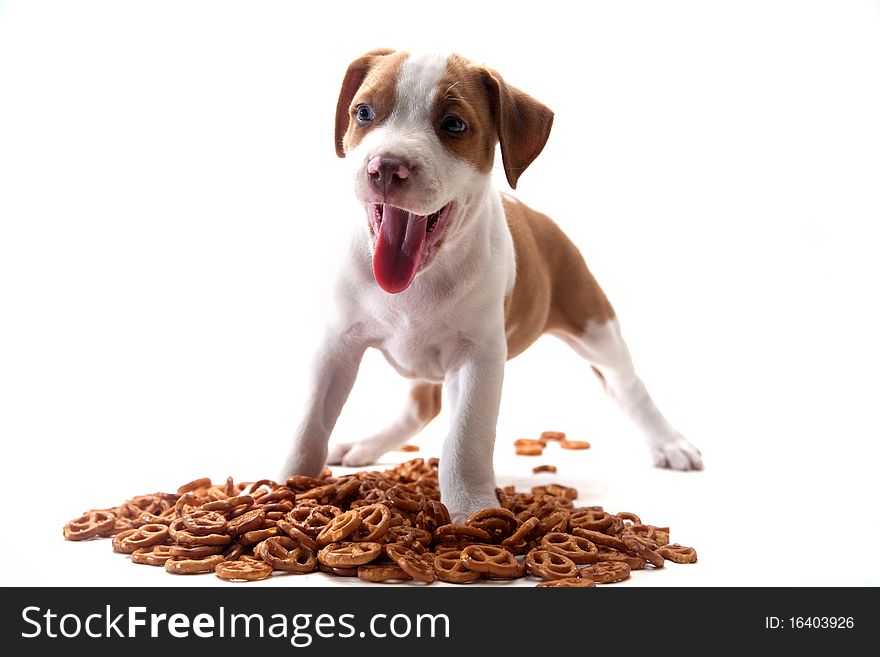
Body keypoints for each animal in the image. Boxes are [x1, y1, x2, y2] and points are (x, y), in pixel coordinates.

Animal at [282, 50, 700, 516]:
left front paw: (472, 511)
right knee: (420, 408)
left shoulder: (476, 358)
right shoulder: (335, 347)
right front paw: (283, 488)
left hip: (596, 326)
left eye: (453, 125)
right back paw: (365, 446)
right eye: (364, 113)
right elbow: (308, 427)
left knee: (628, 385)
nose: (386, 167)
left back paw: (671, 443)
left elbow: (464, 441)